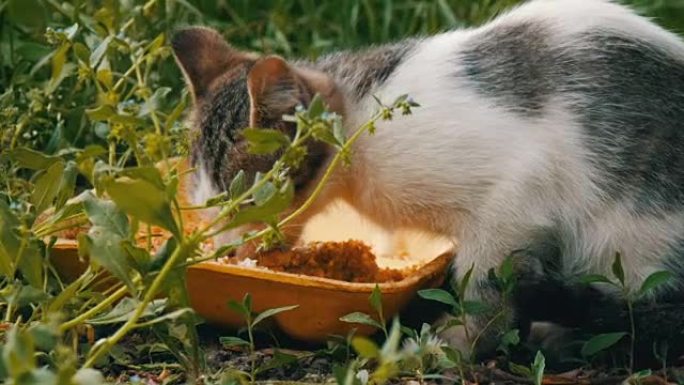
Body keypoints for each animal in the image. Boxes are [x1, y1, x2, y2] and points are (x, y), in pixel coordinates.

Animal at [174, 0, 684, 354]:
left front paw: (457, 342)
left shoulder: (518, 193)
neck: (360, 118)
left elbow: (486, 282)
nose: (229, 249)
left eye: (249, 201)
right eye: (203, 204)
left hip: (630, 240)